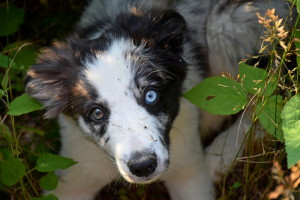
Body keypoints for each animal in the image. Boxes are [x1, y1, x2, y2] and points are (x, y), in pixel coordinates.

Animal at [25, 0, 292, 199]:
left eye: (151, 95)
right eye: (96, 113)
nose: (143, 166)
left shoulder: (188, 171)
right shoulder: (75, 170)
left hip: (230, 23)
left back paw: (218, 156)